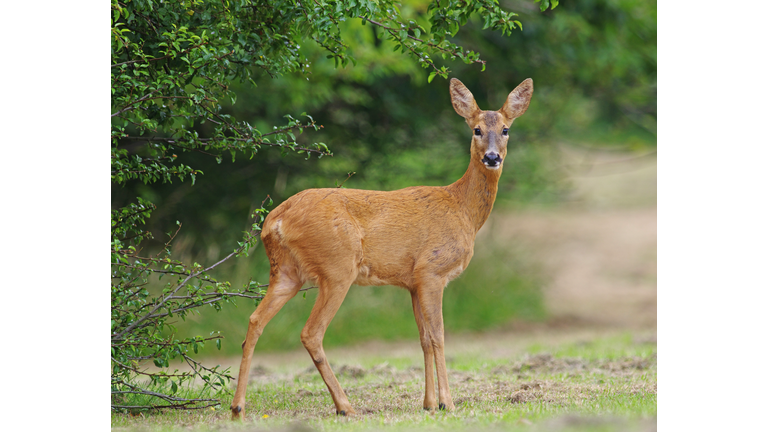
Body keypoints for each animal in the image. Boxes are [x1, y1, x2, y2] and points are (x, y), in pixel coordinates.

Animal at [230, 77, 533, 419]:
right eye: (477, 129)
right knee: (311, 332)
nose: (493, 158)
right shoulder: (432, 270)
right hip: (337, 266)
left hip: (286, 272)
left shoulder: (412, 282)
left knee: (255, 321)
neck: (462, 210)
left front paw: (428, 403)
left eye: (506, 129)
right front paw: (447, 402)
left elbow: (423, 339)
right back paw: (345, 406)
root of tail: (275, 221)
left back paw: (238, 407)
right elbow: (439, 336)